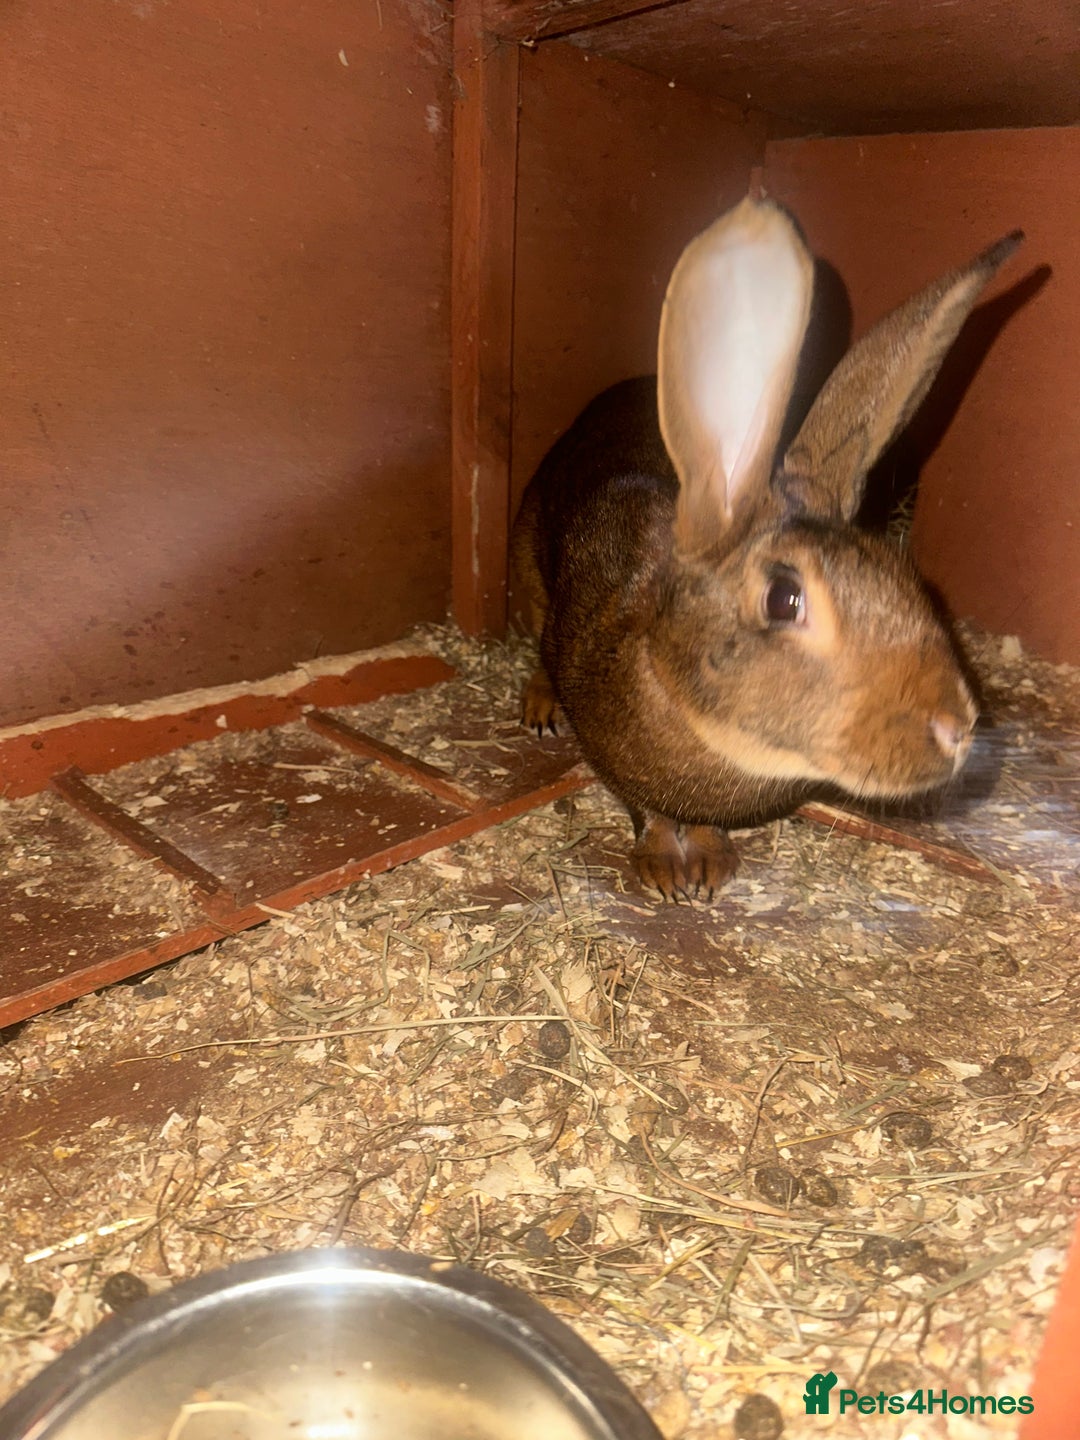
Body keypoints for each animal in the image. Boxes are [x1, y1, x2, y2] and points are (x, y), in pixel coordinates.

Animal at [511, 196, 1022, 900]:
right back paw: (539, 708)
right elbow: (647, 808)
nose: (958, 730)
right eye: (785, 598)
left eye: (901, 572)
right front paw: (663, 872)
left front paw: (709, 864)